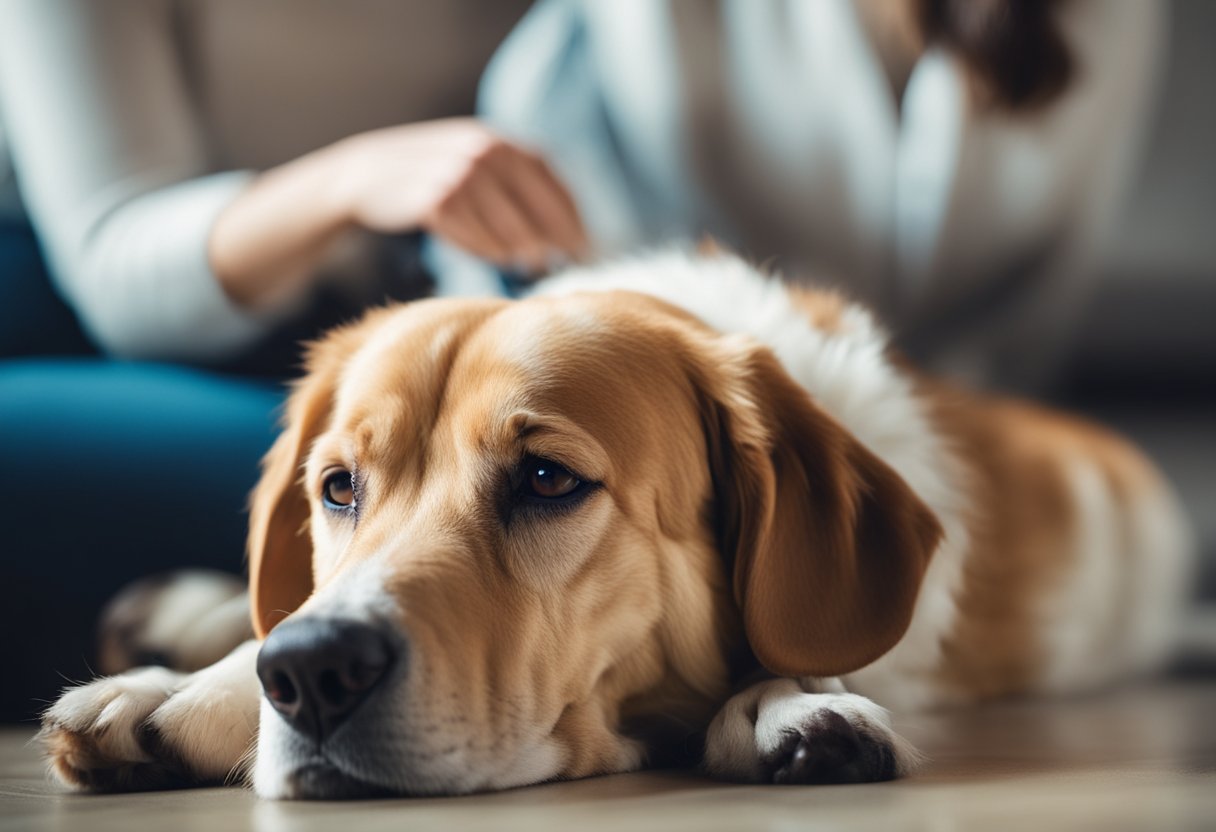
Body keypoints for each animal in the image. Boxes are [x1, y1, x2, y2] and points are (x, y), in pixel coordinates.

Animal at [42, 251, 1191, 797]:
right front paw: (176, 692)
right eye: (338, 488)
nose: (313, 672)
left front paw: (795, 706)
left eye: (548, 479)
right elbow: (263, 631)